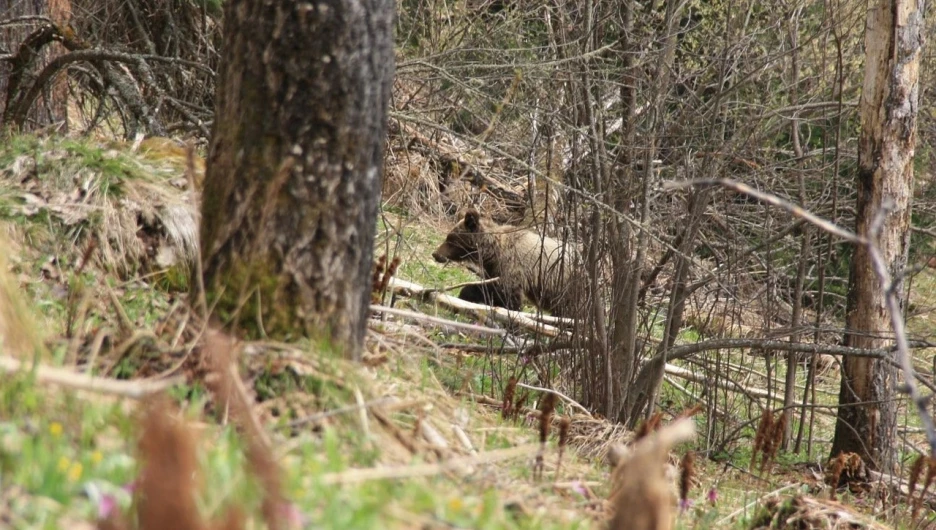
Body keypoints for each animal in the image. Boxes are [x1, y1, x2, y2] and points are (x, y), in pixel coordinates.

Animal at [436, 205, 580, 314]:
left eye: (450, 239)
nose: (435, 254)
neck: (492, 252)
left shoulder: (512, 267)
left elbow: (508, 297)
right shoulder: (495, 270)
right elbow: (488, 289)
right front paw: (464, 298)